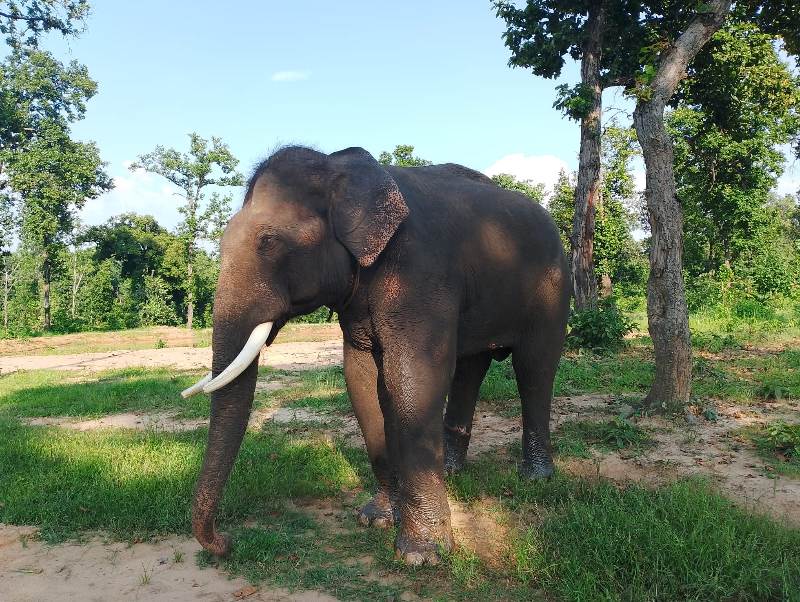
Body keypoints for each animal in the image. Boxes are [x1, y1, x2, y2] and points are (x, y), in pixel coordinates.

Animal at [183, 144, 568, 564]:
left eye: (268, 241)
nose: (226, 543)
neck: (338, 168)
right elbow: (362, 378)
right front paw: (376, 519)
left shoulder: (421, 273)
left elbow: (414, 377)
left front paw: (422, 555)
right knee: (471, 368)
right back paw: (452, 471)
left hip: (552, 287)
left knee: (534, 367)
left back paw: (536, 477)